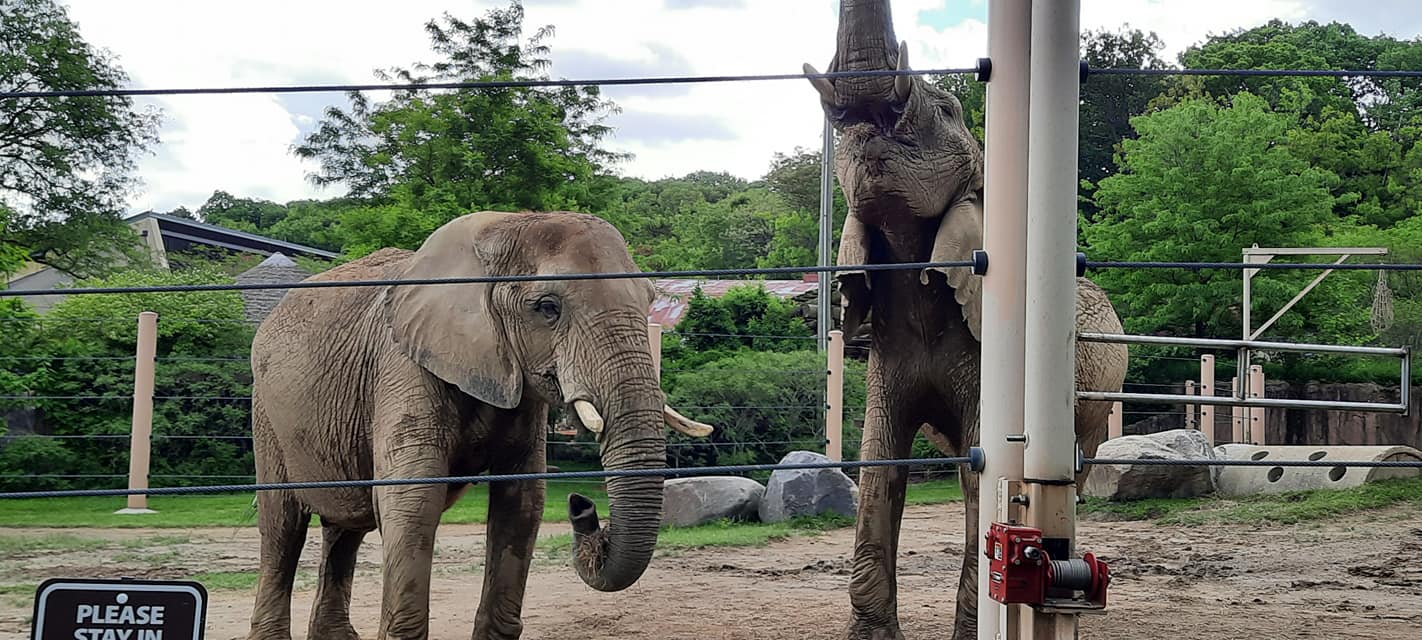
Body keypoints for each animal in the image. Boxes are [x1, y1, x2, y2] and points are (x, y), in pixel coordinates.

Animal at [244, 210, 713, 640]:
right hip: (266, 413)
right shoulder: (402, 365)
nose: (583, 507)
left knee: (345, 527)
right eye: (547, 308)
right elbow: (413, 500)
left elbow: (522, 501)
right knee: (282, 527)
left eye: (648, 301)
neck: (505, 226)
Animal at [800, 2, 1130, 639]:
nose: (865, 123)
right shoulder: (887, 351)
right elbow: (881, 464)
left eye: (949, 110)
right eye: (842, 136)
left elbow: (987, 477)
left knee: (1074, 460)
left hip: (1100, 391)